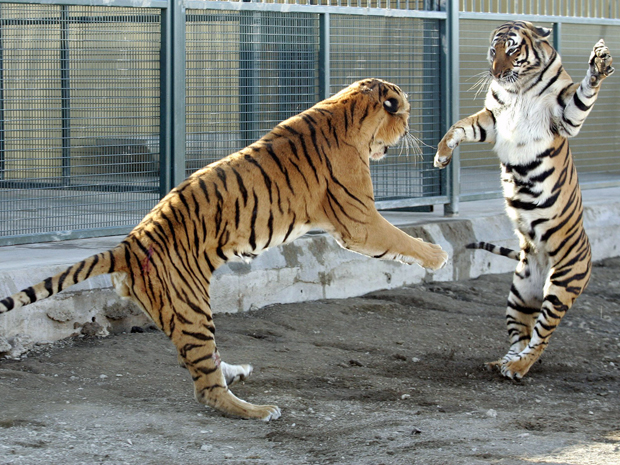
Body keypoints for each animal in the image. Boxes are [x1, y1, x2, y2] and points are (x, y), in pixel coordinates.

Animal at [0, 79, 448, 420]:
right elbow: (401, 239)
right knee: (206, 387)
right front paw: (438, 257)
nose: (410, 130)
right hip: (191, 307)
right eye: (404, 112)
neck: (348, 105)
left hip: (178, 311)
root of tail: (128, 243)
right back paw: (258, 410)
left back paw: (236, 371)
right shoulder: (359, 222)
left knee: (200, 363)